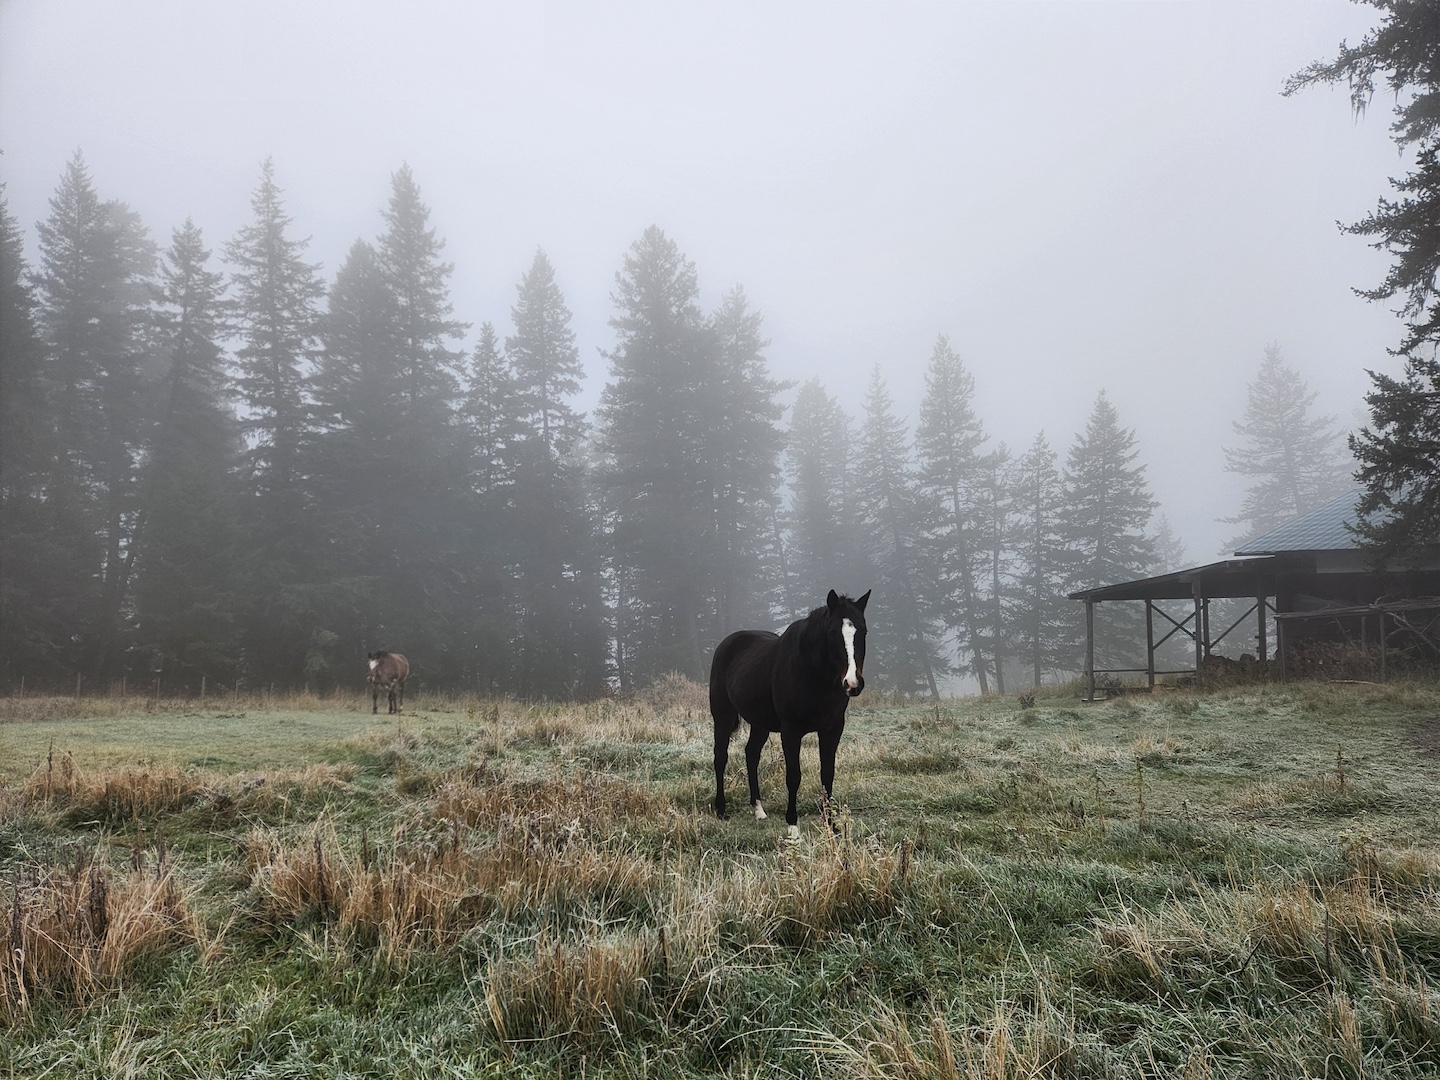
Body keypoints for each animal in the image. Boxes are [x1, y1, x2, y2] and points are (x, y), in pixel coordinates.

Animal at [705, 593, 864, 835]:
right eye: (832, 633)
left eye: (863, 631)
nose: (852, 683)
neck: (813, 673)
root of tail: (727, 644)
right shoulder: (791, 730)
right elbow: (793, 776)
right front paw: (793, 827)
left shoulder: (832, 728)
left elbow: (827, 775)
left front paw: (832, 826)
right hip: (722, 717)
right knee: (720, 758)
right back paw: (721, 810)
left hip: (759, 723)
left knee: (751, 754)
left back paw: (758, 810)